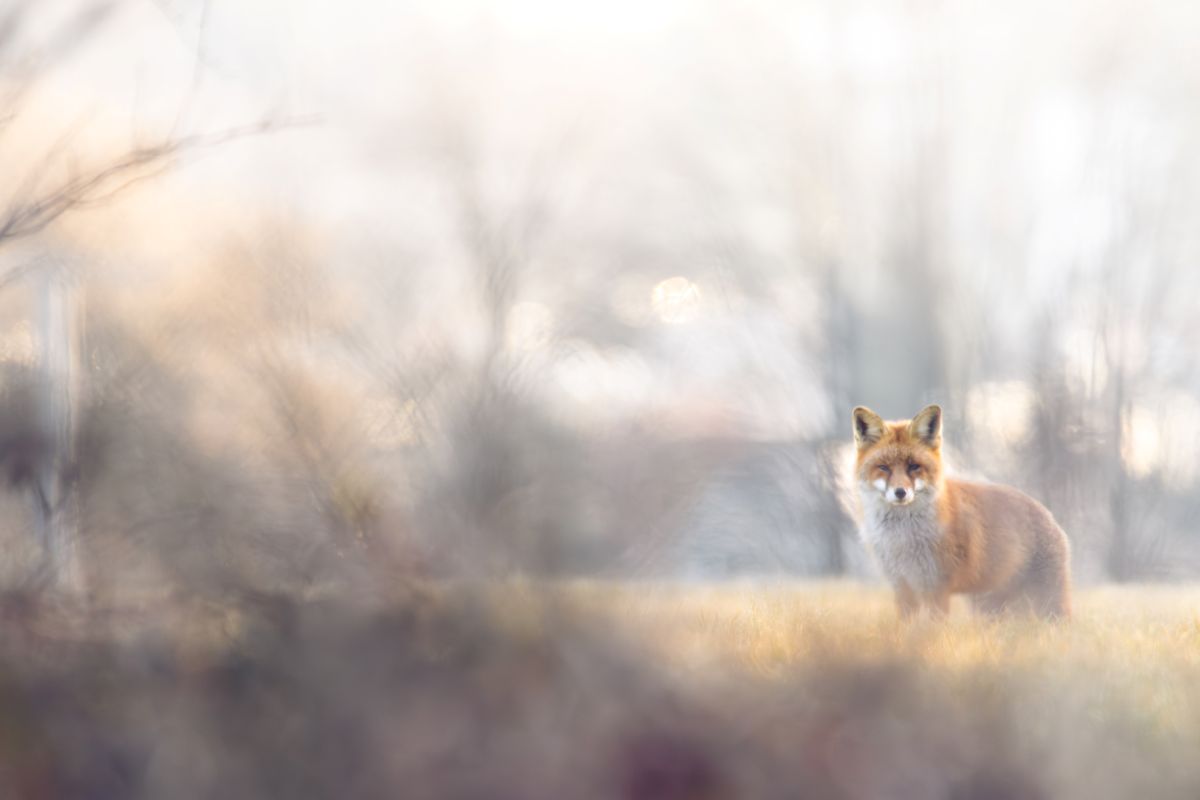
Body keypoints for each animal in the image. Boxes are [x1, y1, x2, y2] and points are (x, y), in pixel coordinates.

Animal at [852, 404, 1071, 620]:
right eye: (883, 467)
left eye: (914, 466)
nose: (900, 492)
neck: (901, 539)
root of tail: (1048, 513)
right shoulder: (902, 585)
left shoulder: (936, 585)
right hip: (991, 607)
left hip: (1046, 603)